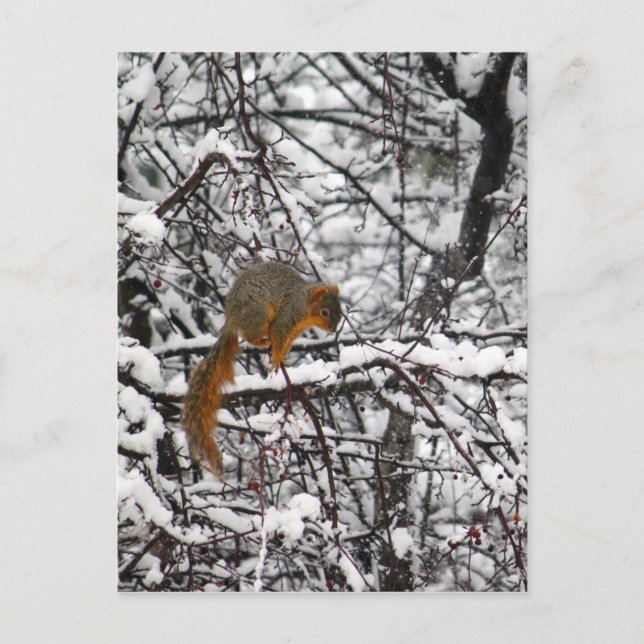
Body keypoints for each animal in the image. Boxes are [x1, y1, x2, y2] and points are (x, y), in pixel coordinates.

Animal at [180, 261, 342, 478]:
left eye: (339, 309)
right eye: (324, 312)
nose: (334, 329)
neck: (303, 305)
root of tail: (231, 319)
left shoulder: (293, 333)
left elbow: (285, 345)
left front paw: (282, 357)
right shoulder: (285, 319)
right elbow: (278, 336)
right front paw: (276, 361)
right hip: (259, 313)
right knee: (251, 336)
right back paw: (263, 341)